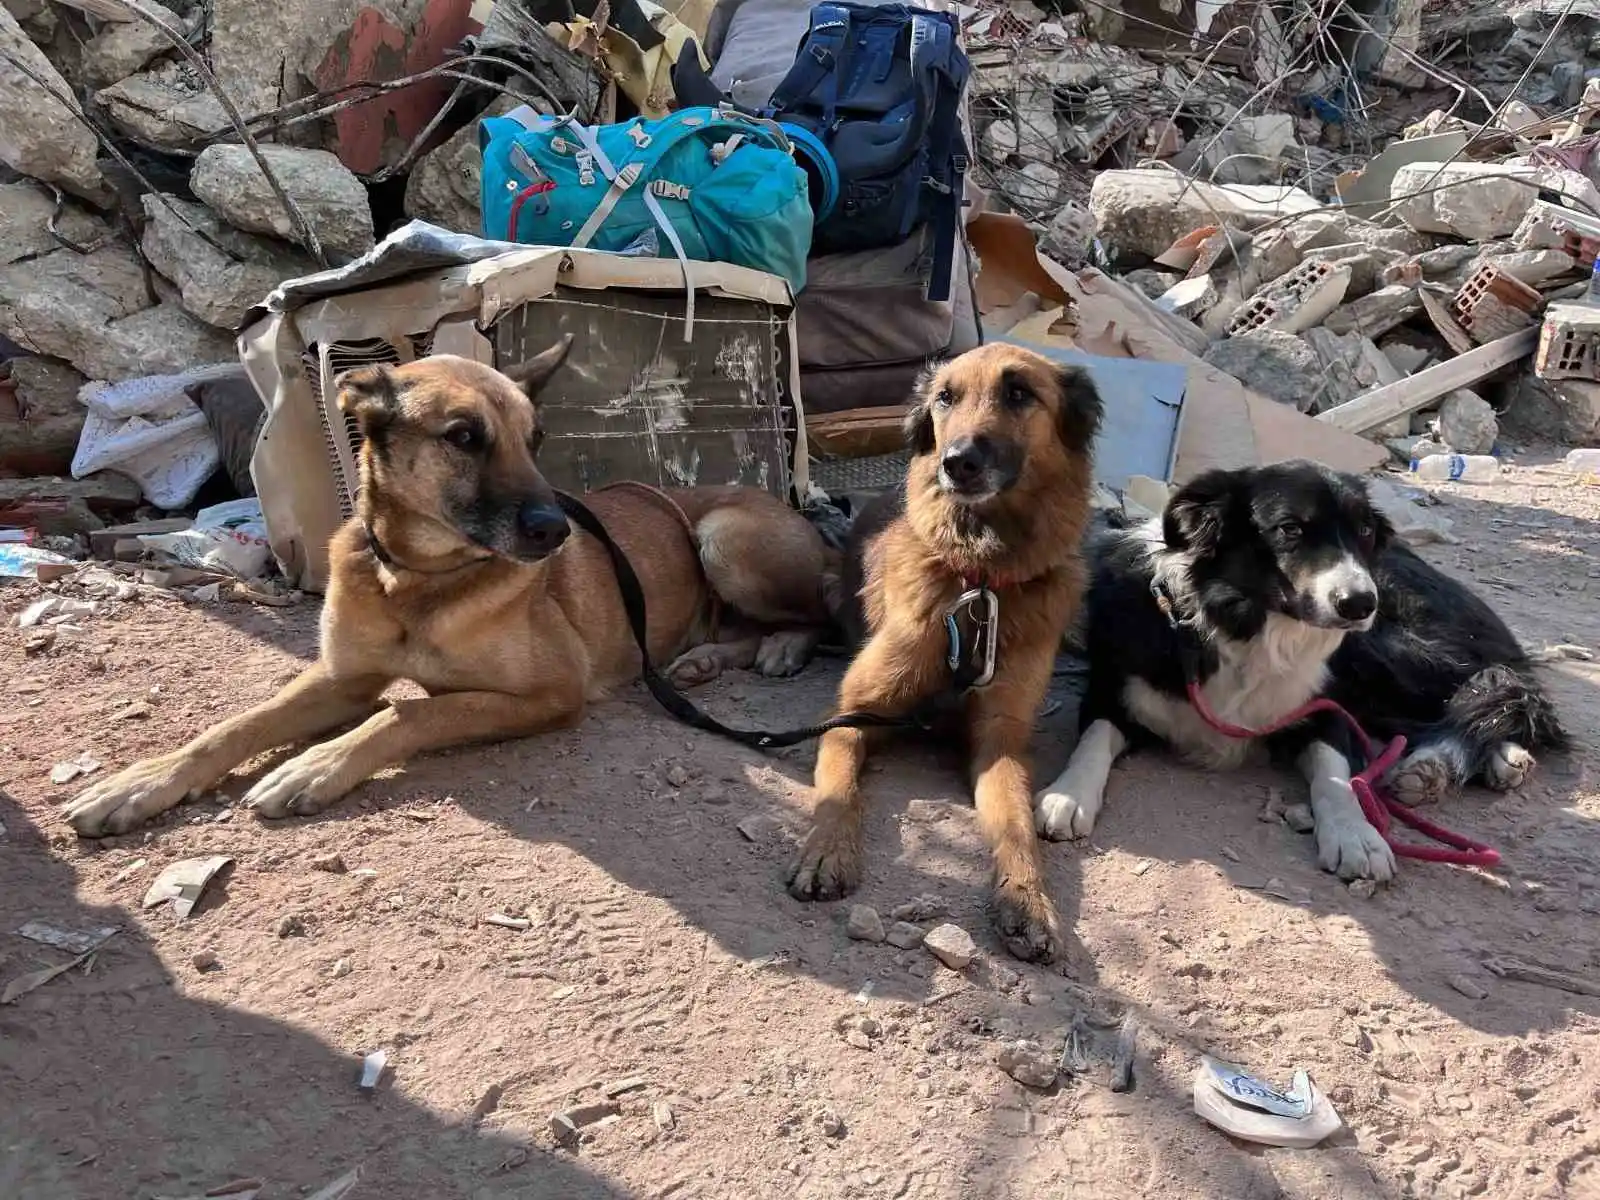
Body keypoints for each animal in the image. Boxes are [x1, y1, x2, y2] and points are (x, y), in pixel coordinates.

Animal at [62, 340, 838, 838]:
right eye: (464, 436)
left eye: (536, 437)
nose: (558, 529)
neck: (415, 578)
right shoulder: (341, 677)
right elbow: (237, 725)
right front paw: (142, 782)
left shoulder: (550, 693)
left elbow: (409, 712)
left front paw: (317, 765)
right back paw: (707, 659)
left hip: (726, 538)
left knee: (822, 609)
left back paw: (781, 647)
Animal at [784, 342, 1100, 966]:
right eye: (945, 398)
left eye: (1019, 392)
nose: (957, 463)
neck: (979, 579)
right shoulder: (852, 713)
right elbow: (837, 792)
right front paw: (827, 850)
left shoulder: (1000, 741)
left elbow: (1016, 828)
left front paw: (1026, 902)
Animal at [1030, 460, 1568, 883]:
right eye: (1289, 529)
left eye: (1364, 532)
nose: (1360, 602)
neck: (1243, 629)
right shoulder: (1113, 692)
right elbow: (1094, 740)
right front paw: (1068, 794)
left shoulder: (1328, 709)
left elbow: (1336, 777)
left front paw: (1355, 834)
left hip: (1386, 654)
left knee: (1495, 691)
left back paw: (1477, 757)